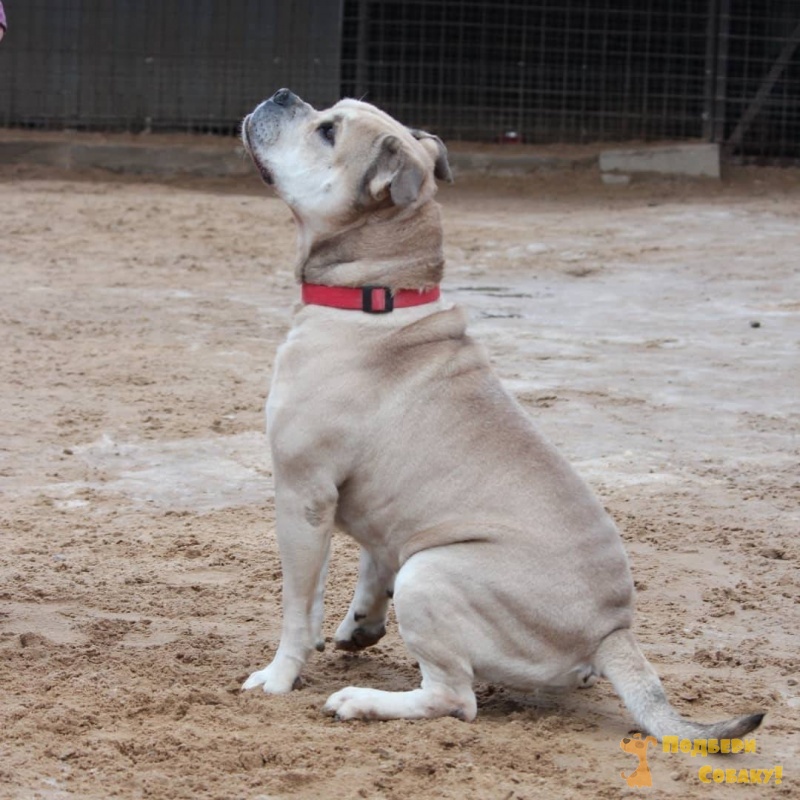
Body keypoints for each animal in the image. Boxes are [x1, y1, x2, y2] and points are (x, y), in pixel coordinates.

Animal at [238, 88, 764, 739]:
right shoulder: (375, 520)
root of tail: (612, 633)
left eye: (328, 131)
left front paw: (279, 676)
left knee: (454, 699)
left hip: (431, 574)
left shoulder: (302, 495)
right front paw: (359, 624)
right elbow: (371, 563)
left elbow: (296, 605)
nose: (282, 95)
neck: (379, 295)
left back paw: (363, 701)